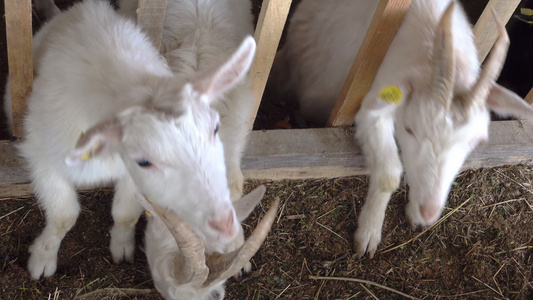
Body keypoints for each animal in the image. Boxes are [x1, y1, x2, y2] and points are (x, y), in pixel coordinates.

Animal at [272, 0, 532, 258]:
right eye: (409, 129)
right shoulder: (372, 108)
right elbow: (389, 174)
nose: (429, 211)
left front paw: (415, 214)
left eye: (476, 141)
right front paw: (368, 233)